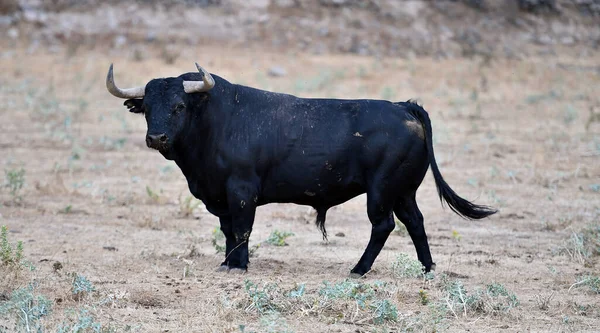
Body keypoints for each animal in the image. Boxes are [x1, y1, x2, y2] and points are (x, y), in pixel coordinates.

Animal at [106, 64, 496, 274]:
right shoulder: (220, 196)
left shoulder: (242, 190)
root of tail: (404, 106)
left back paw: (358, 269)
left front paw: (240, 265)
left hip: (382, 190)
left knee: (383, 225)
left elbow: (242, 229)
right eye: (147, 107)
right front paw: (228, 263)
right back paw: (427, 269)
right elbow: (228, 230)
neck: (214, 120)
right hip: (404, 191)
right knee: (415, 222)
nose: (156, 137)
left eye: (179, 106)